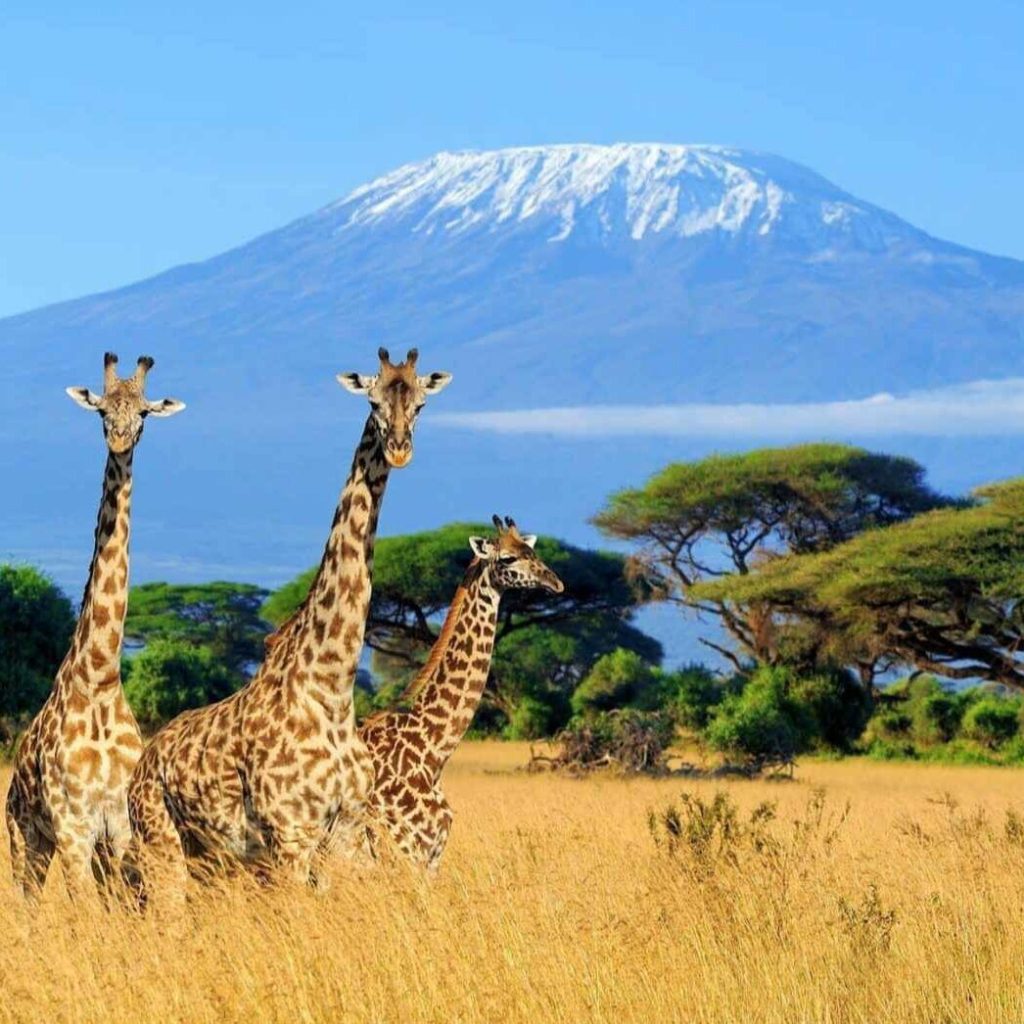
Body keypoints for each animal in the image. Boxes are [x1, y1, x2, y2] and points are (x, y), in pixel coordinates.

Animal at [4, 353, 185, 902]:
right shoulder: (73, 827)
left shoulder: (119, 827)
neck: (101, 677)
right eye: (103, 410)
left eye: (144, 413)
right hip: (25, 837)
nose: (121, 440)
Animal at [126, 347, 451, 896]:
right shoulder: (291, 835)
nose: (400, 449)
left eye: (421, 403)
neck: (332, 688)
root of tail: (142, 764)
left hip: (210, 858)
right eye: (372, 400)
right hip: (161, 844)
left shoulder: (346, 832)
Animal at [355, 516, 563, 871]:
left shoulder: (430, 853)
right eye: (507, 558)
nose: (556, 583)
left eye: (532, 551)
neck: (432, 750)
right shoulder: (409, 848)